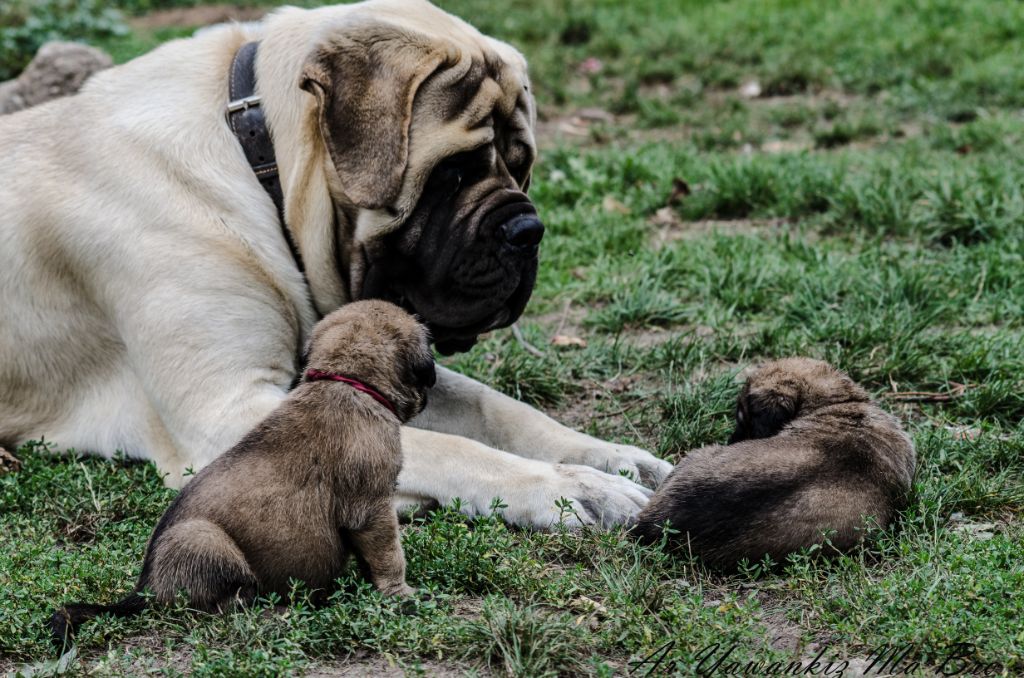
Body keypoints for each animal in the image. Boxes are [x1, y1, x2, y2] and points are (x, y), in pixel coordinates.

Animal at [0, 0, 671, 532]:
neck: (255, 159)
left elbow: (496, 408)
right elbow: (446, 446)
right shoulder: (227, 410)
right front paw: (572, 489)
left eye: (522, 166)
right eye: (452, 174)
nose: (527, 232)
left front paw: (607, 457)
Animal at [49, 301, 434, 647]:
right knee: (209, 606)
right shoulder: (373, 509)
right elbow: (390, 556)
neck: (345, 381)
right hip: (201, 538)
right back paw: (261, 604)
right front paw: (402, 594)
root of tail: (144, 590)